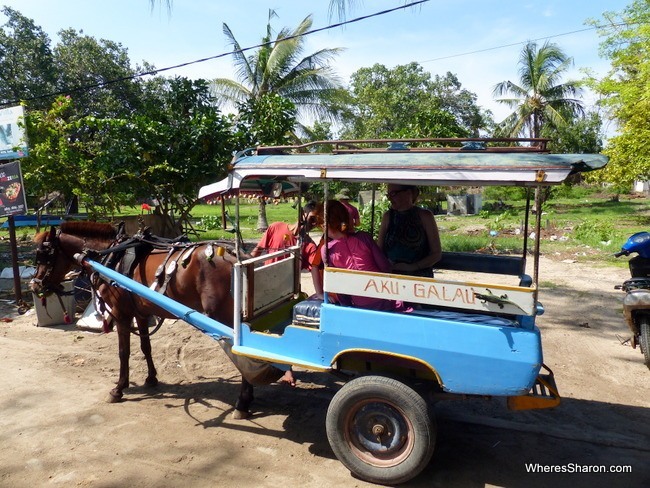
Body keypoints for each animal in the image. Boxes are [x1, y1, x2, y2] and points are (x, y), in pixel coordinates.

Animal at [30, 221, 280, 416]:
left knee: (243, 355)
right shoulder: (140, 312)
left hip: (225, 319)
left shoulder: (121, 314)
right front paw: (151, 378)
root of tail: (238, 257)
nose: (35, 285)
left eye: (45, 255)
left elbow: (123, 352)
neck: (111, 256)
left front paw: (119, 388)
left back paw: (243, 402)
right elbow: (145, 346)